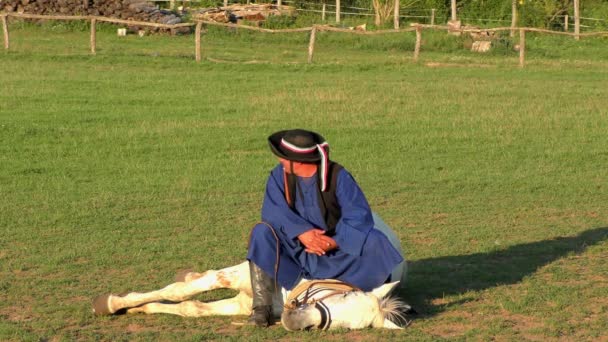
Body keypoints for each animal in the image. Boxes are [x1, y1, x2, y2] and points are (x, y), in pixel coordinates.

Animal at [94, 214, 408, 332]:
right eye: (341, 298)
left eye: (342, 328)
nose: (294, 321)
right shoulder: (239, 275)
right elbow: (179, 292)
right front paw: (110, 303)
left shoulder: (243, 303)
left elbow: (190, 307)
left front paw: (138, 309)